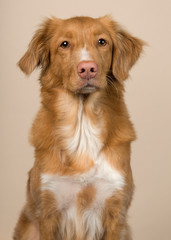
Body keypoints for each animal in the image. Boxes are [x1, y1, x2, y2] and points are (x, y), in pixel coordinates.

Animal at [13, 15, 144, 239]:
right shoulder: (49, 210)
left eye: (102, 42)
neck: (83, 125)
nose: (88, 69)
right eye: (64, 44)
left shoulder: (115, 209)